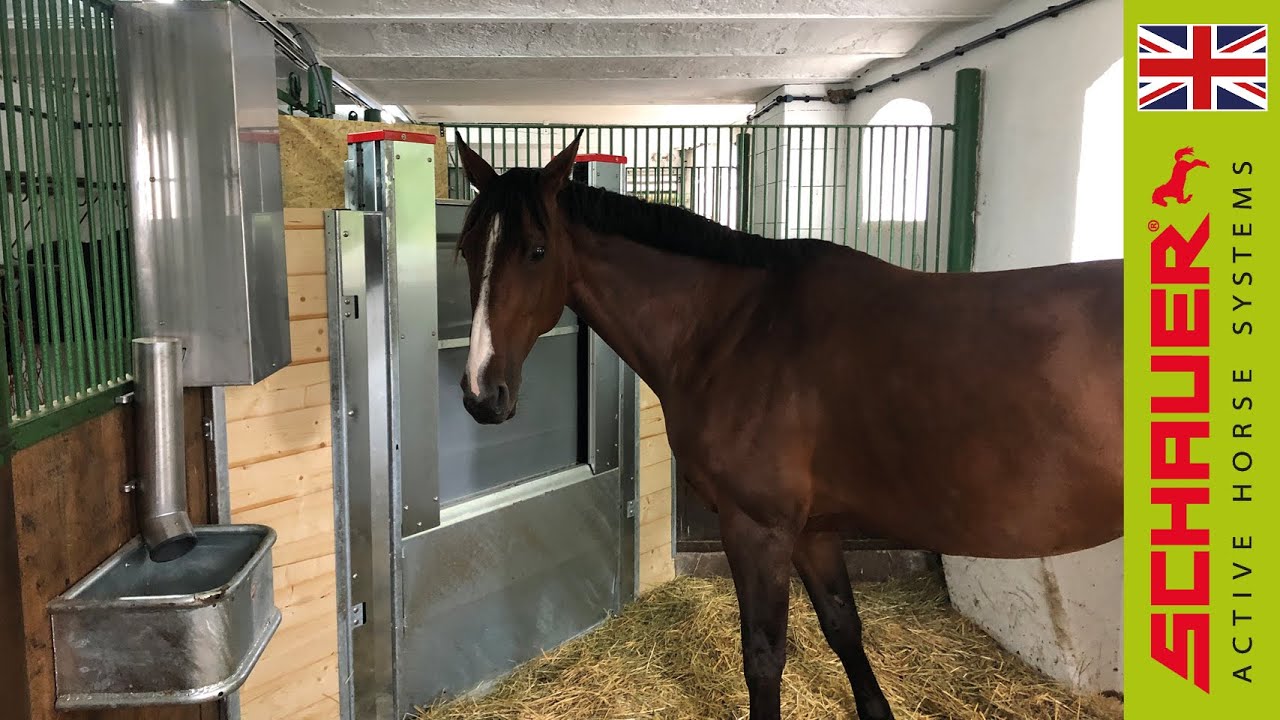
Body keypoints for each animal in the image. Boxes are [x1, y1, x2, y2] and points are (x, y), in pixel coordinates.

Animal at [451, 130, 1123, 720]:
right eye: (465, 249)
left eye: (537, 251)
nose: (483, 393)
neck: (735, 328)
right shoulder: (813, 530)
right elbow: (843, 626)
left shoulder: (758, 529)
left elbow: (764, 657)